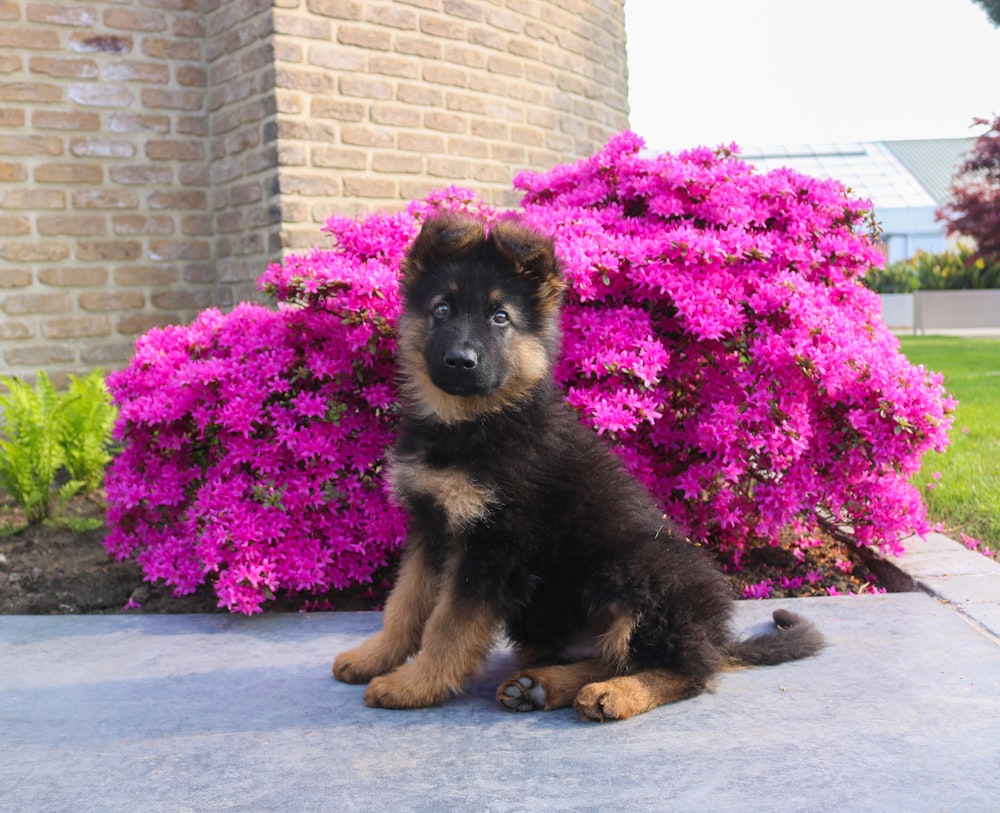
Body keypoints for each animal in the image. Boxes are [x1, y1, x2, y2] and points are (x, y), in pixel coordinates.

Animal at [332, 216, 824, 724]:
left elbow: (449, 626)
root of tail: (716, 637)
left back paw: (617, 693)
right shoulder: (431, 528)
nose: (460, 361)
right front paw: (375, 657)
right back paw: (541, 686)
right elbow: (405, 605)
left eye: (500, 317)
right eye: (442, 309)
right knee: (609, 655)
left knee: (686, 669)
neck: (473, 422)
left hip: (643, 569)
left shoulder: (493, 546)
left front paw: (415, 685)